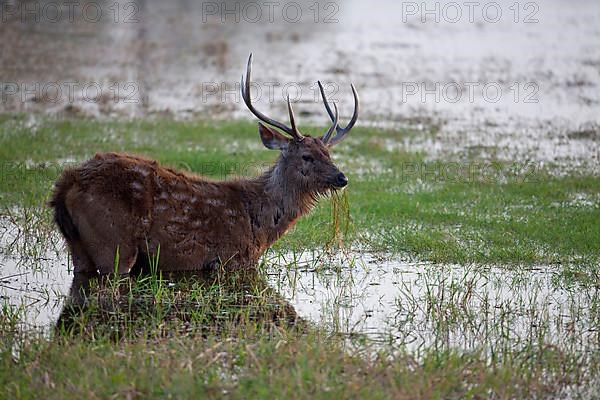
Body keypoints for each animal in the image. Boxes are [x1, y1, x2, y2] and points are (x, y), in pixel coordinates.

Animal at [50, 53, 356, 294]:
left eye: (329, 153)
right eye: (307, 156)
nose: (342, 178)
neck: (259, 225)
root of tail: (65, 185)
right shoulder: (229, 259)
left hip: (79, 247)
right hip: (113, 244)